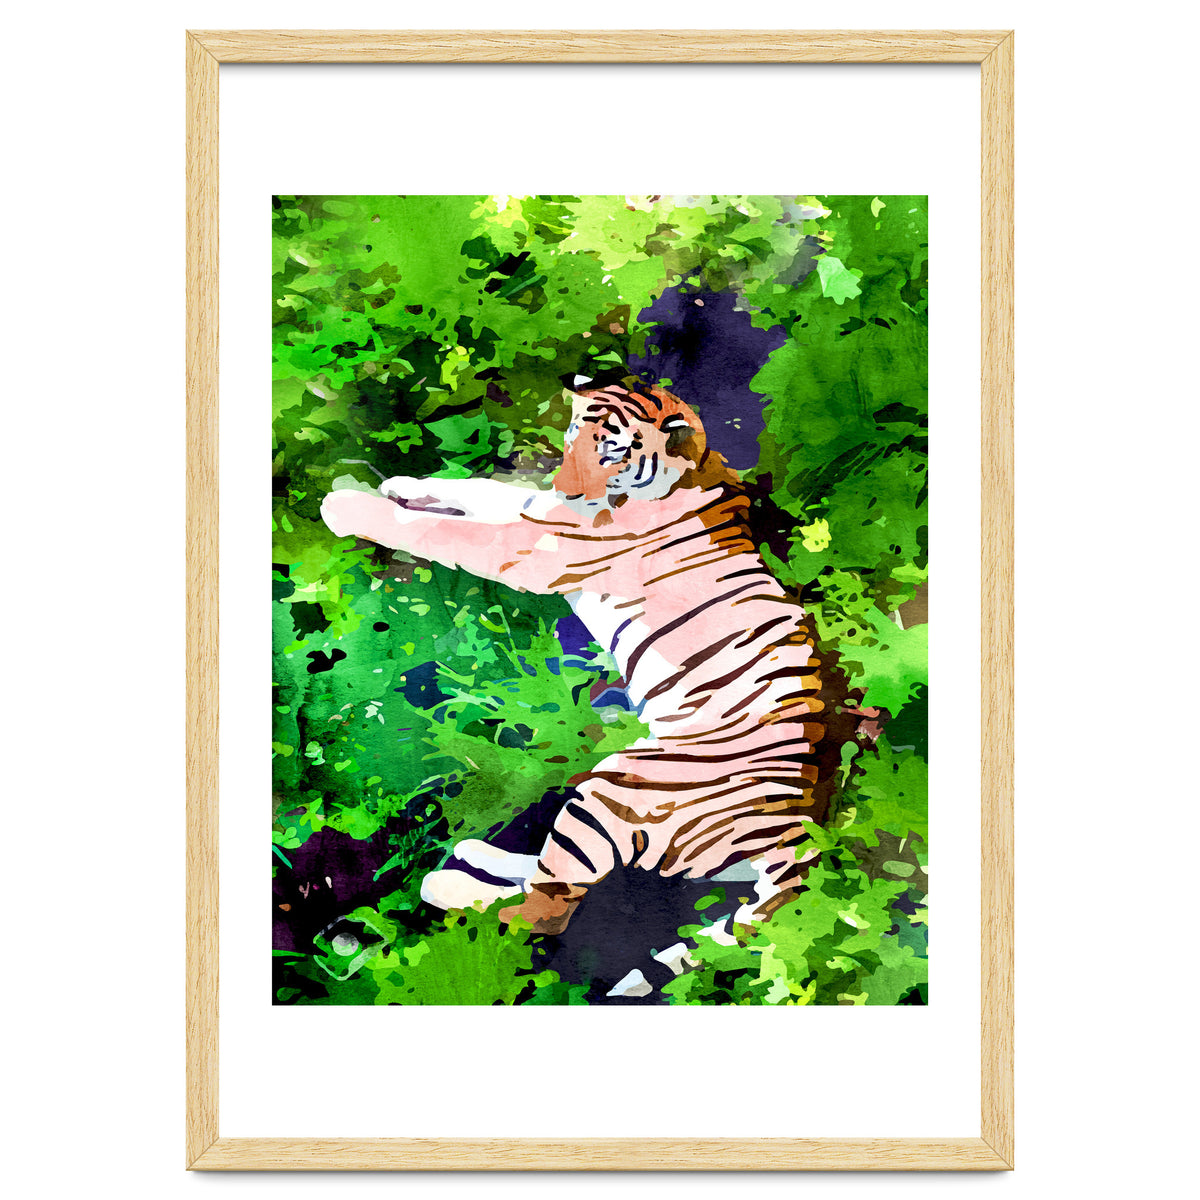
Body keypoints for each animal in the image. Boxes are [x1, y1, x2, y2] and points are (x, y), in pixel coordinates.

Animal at [320, 376, 857, 936]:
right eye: (574, 434)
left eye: (612, 452)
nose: (569, 488)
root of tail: (794, 832)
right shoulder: (538, 511)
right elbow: (483, 490)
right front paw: (401, 484)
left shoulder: (532, 545)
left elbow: (438, 530)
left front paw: (345, 505)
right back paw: (475, 852)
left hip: (614, 791)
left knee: (544, 909)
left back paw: (445, 884)